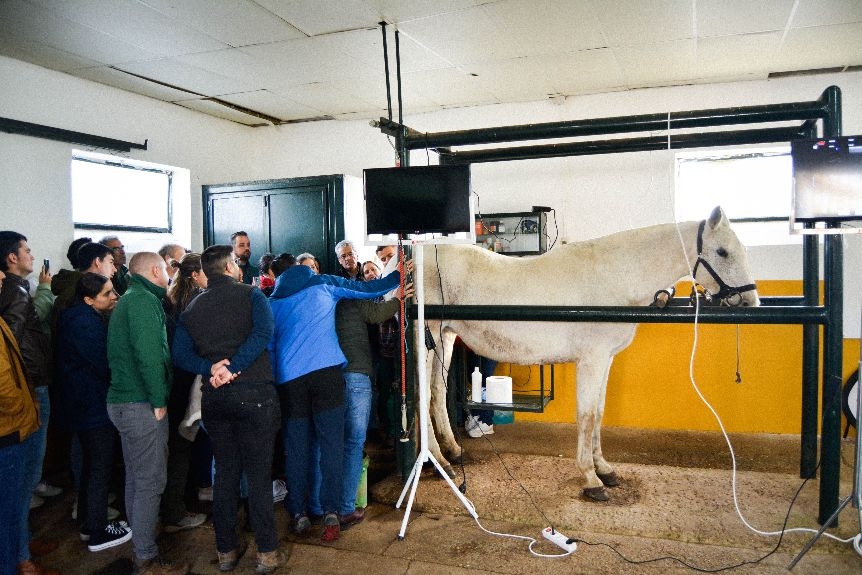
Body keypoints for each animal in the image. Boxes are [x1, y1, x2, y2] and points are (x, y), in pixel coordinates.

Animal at [422, 206, 760, 500]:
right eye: (722, 252)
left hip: (446, 338)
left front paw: (605, 470)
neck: (613, 277)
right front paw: (591, 479)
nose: (750, 302)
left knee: (437, 392)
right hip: (428, 339)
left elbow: (598, 413)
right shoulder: (592, 360)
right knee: (423, 397)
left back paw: (453, 452)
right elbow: (585, 416)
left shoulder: (606, 359)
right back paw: (442, 465)